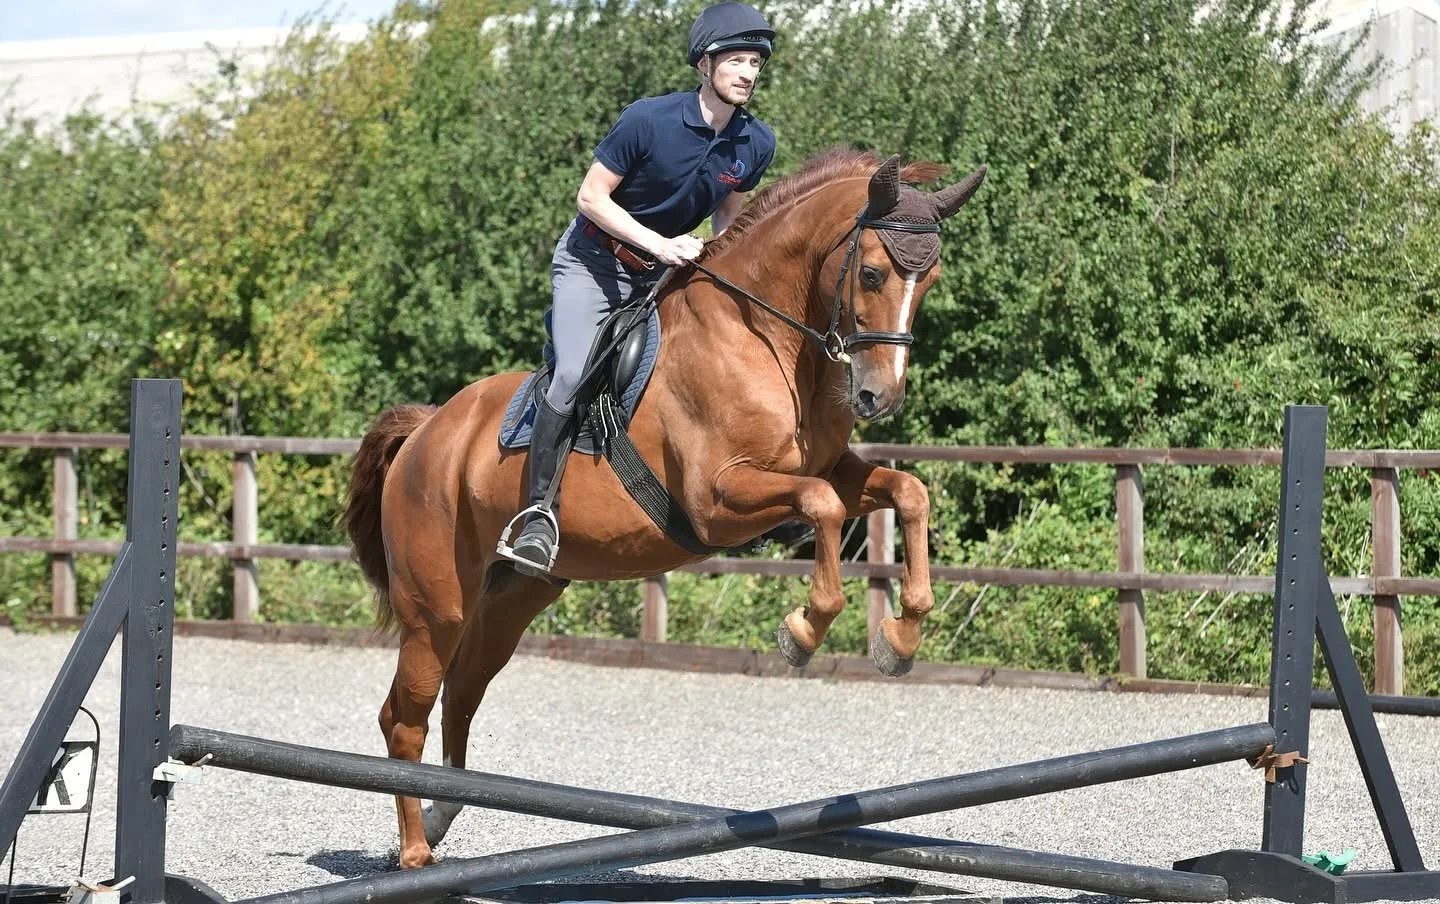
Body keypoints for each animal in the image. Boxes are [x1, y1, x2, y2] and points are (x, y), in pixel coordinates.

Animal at [342, 147, 987, 869]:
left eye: (928, 282)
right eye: (872, 272)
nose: (880, 397)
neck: (763, 338)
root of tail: (427, 430)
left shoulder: (829, 471)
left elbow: (907, 492)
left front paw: (899, 638)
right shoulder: (718, 501)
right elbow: (820, 509)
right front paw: (802, 632)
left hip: (511, 598)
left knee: (461, 696)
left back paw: (441, 815)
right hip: (437, 607)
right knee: (406, 715)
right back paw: (414, 852)